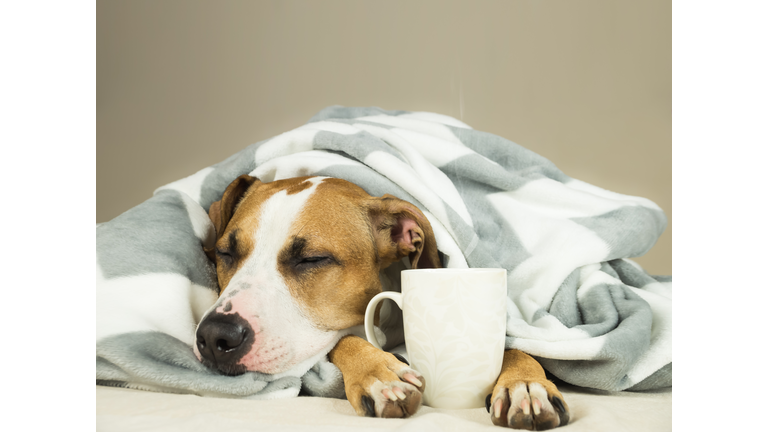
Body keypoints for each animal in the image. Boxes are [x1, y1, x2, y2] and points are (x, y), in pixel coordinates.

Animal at [192, 175, 568, 428]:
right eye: (225, 253)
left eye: (311, 259)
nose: (215, 335)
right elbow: (345, 339)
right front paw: (378, 372)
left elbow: (512, 347)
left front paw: (525, 384)